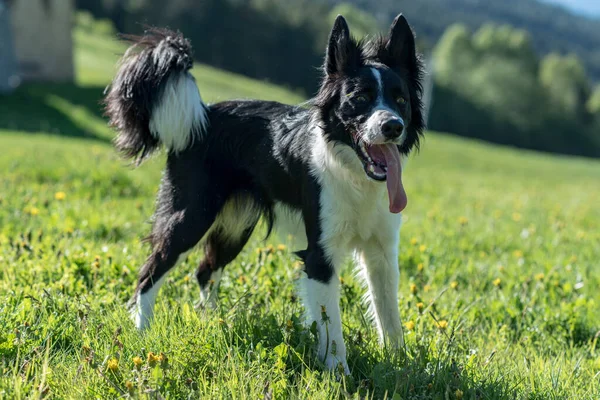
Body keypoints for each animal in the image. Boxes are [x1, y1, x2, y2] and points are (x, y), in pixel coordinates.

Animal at [104, 13, 422, 376]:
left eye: (401, 101)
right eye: (360, 98)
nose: (393, 126)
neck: (354, 173)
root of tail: (204, 114)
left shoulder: (382, 252)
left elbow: (389, 315)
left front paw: (399, 366)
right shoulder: (320, 255)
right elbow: (332, 328)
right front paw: (339, 374)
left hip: (236, 225)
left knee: (205, 271)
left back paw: (213, 322)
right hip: (190, 218)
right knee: (150, 272)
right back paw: (141, 331)